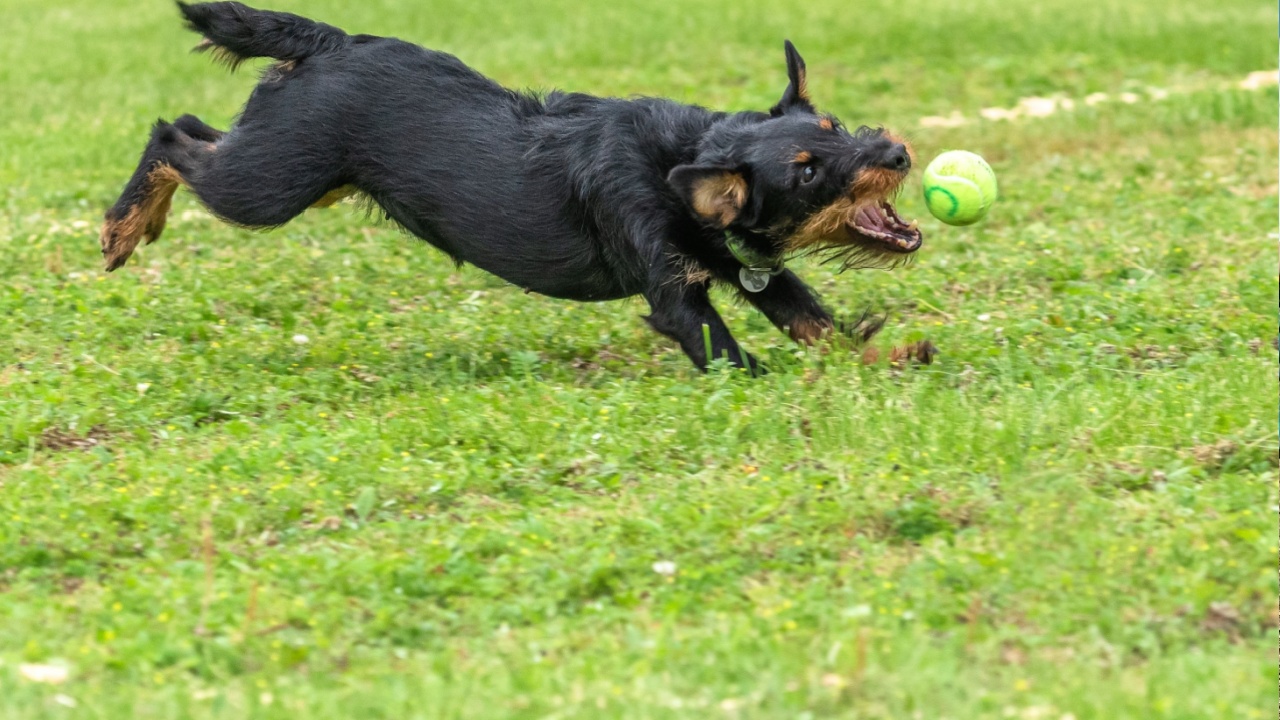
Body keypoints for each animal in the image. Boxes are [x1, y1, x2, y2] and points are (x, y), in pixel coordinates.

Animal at [97, 5, 921, 371]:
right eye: (806, 169)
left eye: (835, 125)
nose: (898, 151)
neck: (682, 164)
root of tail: (328, 42)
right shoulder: (677, 298)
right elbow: (732, 356)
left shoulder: (757, 274)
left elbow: (821, 325)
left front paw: (889, 357)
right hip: (269, 188)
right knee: (171, 135)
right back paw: (124, 229)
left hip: (296, 170)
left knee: (195, 128)